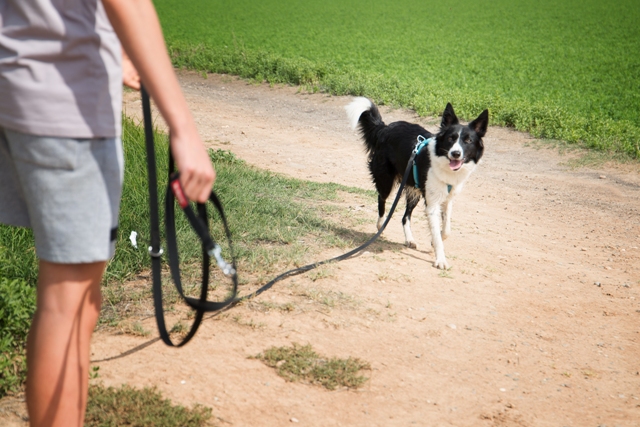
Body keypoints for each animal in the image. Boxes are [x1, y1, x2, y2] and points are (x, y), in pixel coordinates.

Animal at [344, 98, 490, 270]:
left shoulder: (447, 198)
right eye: (450, 139)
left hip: (413, 187)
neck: (444, 164)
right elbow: (438, 233)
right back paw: (380, 226)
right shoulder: (432, 204)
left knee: (405, 217)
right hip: (386, 180)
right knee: (382, 201)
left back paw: (409, 239)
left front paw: (434, 241)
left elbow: (446, 230)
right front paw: (441, 259)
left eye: (468, 141)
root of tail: (385, 128)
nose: (455, 153)